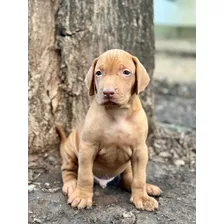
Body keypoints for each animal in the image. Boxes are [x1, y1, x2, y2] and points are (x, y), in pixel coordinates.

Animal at [56, 49, 161, 212]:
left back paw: (148, 188)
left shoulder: (140, 150)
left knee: (128, 180)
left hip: (128, 165)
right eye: (98, 73)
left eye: (126, 72)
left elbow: (139, 178)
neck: (117, 112)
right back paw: (72, 185)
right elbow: (84, 175)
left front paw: (142, 198)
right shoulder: (88, 147)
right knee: (68, 170)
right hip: (70, 150)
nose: (108, 92)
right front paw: (82, 196)